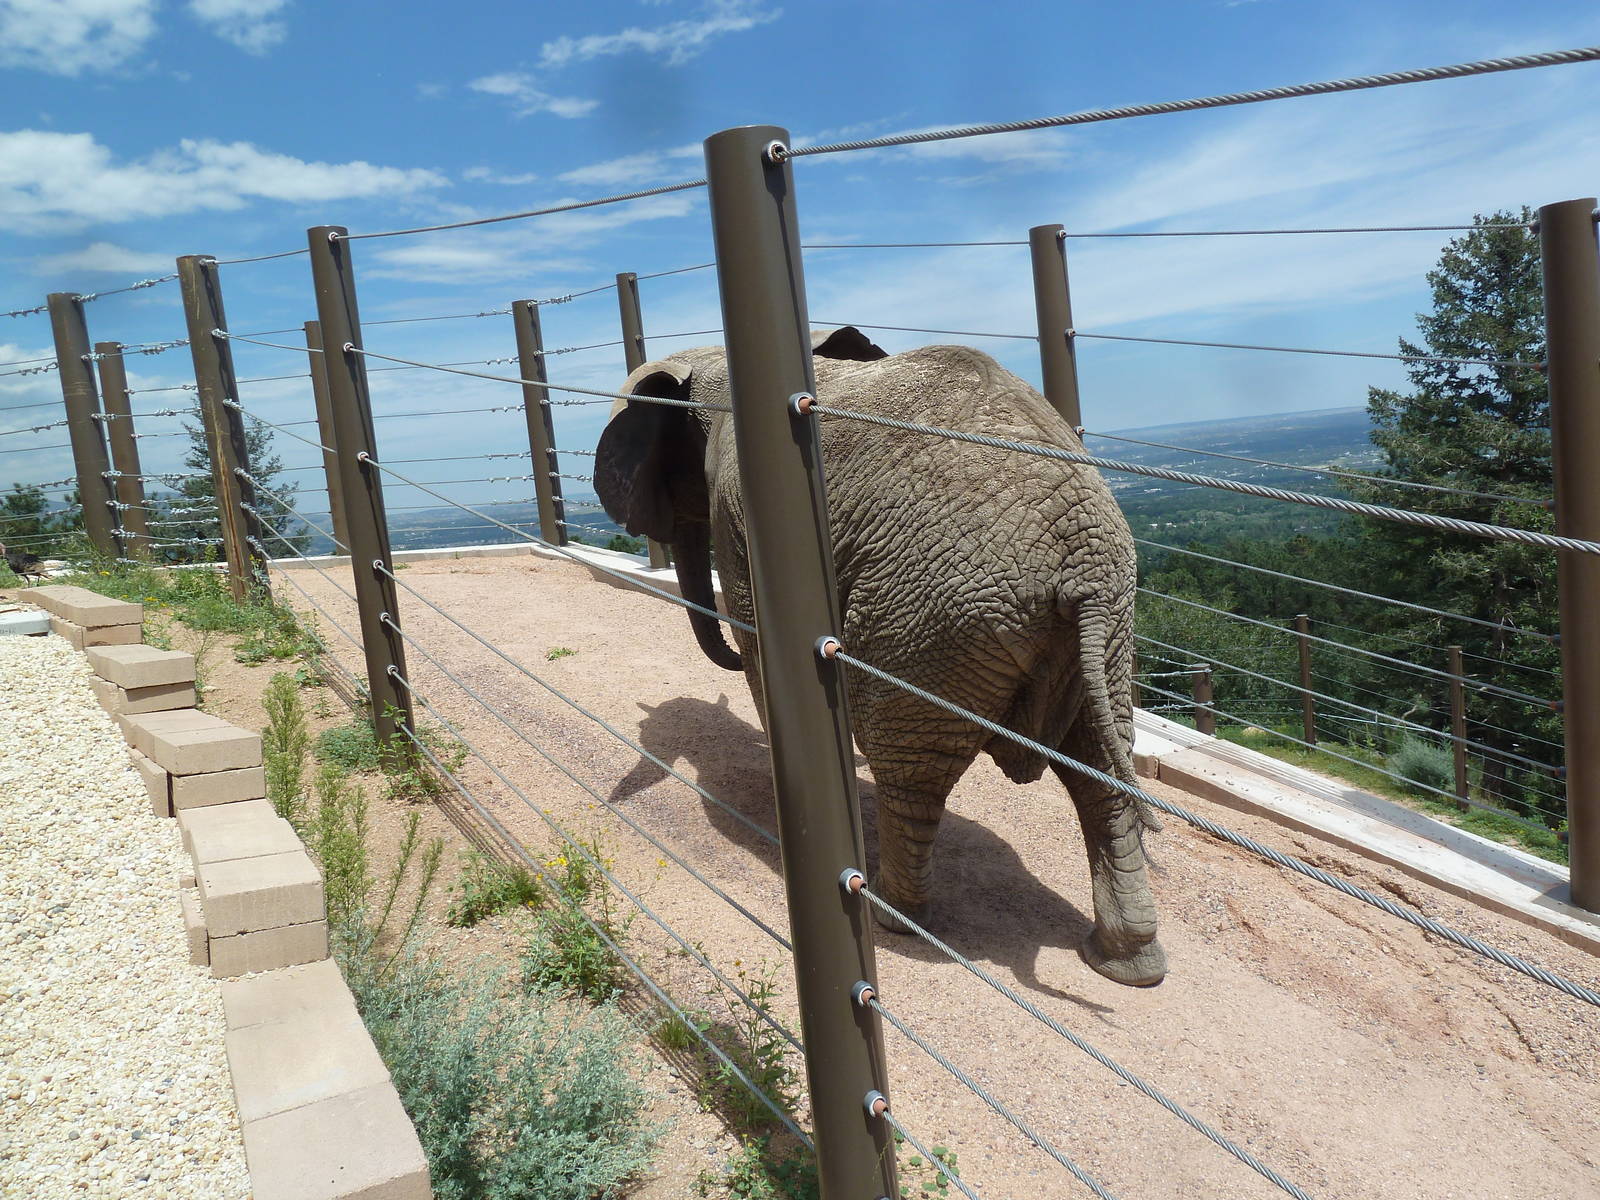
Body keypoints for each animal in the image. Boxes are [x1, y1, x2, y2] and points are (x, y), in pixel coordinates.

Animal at [594, 327, 1165, 986]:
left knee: (909, 769)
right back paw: (1128, 963)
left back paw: (891, 913)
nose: (722, 664)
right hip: (1095, 632)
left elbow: (760, 647)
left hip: (932, 617)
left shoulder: (737, 508)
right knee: (1099, 767)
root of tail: (1084, 564)